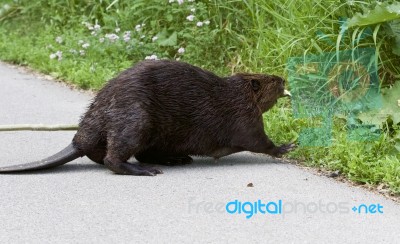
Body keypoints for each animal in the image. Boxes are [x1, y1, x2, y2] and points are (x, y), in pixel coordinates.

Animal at [0, 60, 294, 176]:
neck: (236, 92)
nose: (283, 79)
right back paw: (148, 170)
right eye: (271, 80)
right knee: (113, 159)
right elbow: (258, 141)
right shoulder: (245, 116)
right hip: (136, 121)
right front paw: (286, 146)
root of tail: (78, 141)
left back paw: (177, 159)